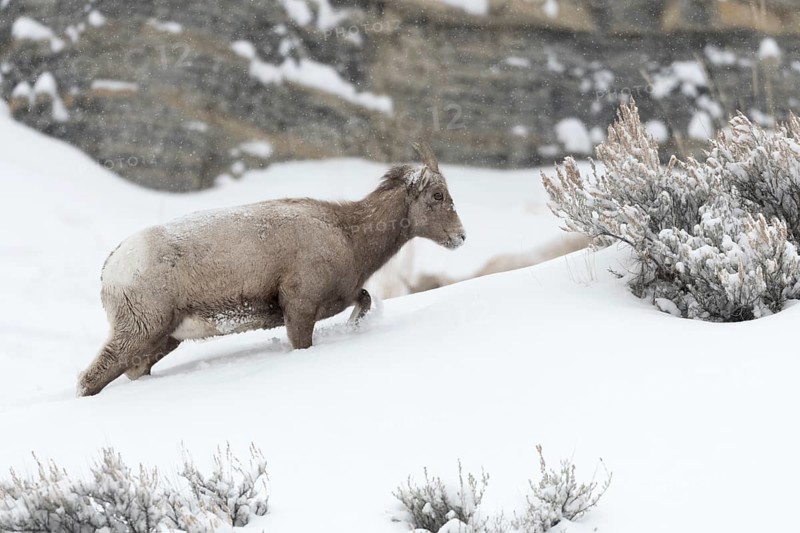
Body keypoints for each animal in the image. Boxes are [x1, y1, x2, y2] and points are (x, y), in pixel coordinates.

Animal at [78, 143, 466, 396]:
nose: (461, 236)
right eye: (437, 196)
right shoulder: (300, 309)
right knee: (89, 381)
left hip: (161, 340)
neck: (347, 233)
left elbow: (366, 300)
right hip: (138, 331)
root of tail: (112, 265)